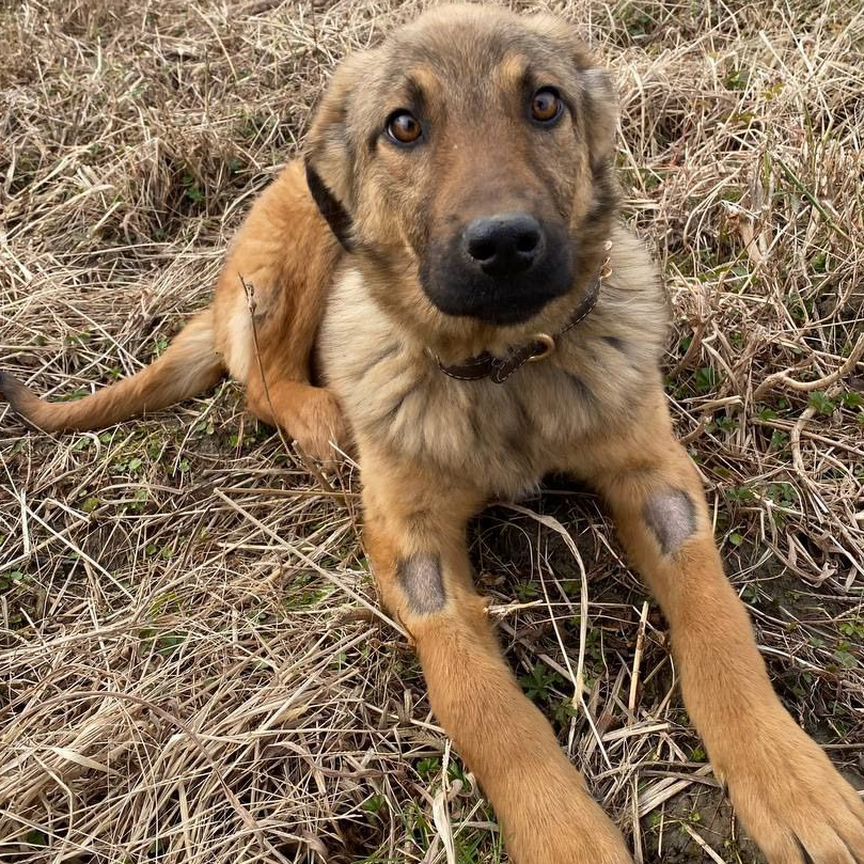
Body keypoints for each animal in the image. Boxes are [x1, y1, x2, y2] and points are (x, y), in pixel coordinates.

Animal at [1, 6, 864, 864]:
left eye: (544, 104)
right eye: (404, 126)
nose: (505, 245)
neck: (504, 369)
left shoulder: (657, 481)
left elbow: (719, 620)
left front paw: (787, 776)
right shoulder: (414, 550)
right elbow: (481, 704)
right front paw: (564, 832)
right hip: (303, 254)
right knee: (262, 380)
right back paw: (322, 422)